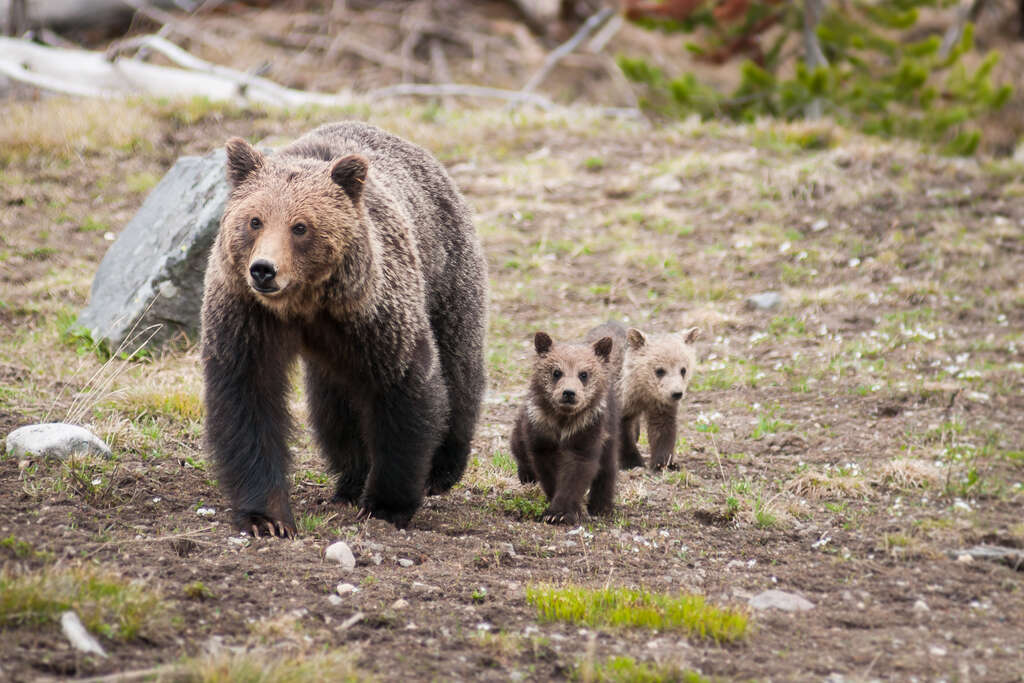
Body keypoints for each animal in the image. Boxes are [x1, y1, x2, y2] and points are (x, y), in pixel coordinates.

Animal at [202, 124, 487, 540]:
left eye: (300, 226)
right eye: (255, 220)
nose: (264, 270)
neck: (304, 306)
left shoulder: (375, 314)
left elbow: (404, 390)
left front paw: (387, 504)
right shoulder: (246, 318)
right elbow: (248, 402)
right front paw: (266, 517)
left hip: (446, 274)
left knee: (459, 366)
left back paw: (442, 469)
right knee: (333, 407)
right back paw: (350, 480)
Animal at [509, 331, 618, 524]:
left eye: (584, 374)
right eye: (556, 372)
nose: (568, 393)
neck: (563, 420)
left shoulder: (587, 430)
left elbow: (576, 471)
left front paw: (560, 513)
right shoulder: (541, 430)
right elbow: (547, 469)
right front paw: (555, 510)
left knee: (607, 466)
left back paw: (602, 507)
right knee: (518, 446)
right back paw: (526, 475)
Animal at [589, 321, 700, 471]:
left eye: (683, 370)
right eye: (660, 370)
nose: (676, 393)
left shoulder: (659, 403)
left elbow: (663, 429)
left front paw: (664, 464)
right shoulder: (620, 401)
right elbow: (622, 433)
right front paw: (632, 461)